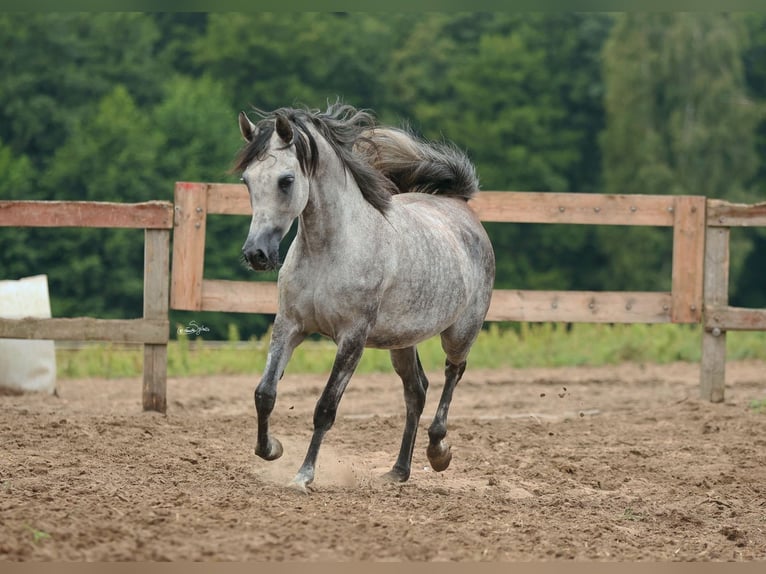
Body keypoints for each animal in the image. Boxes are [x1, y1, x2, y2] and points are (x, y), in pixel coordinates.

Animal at [236, 104, 498, 496]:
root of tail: (460, 207)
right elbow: (264, 393)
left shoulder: (352, 339)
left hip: (461, 331)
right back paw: (398, 471)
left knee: (453, 373)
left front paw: (303, 475)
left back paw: (438, 451)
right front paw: (271, 449)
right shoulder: (289, 325)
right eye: (247, 181)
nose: (256, 254)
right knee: (416, 391)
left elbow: (325, 408)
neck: (329, 250)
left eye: (286, 180)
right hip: (401, 340)